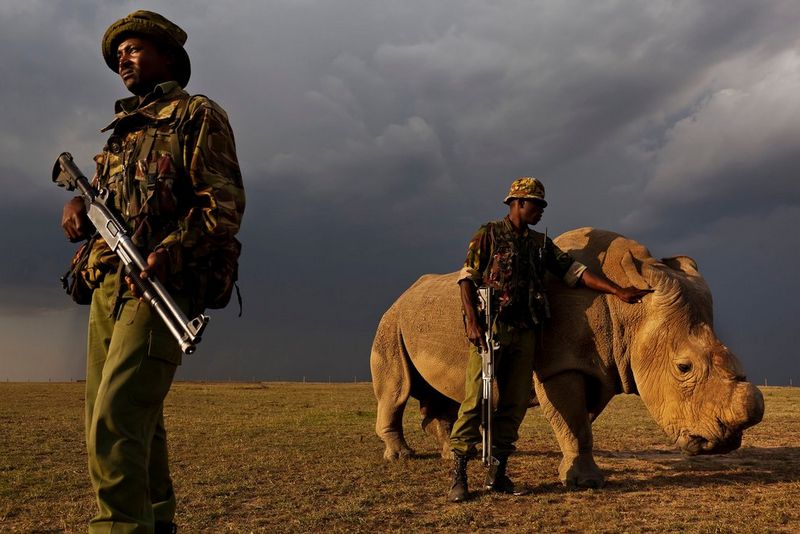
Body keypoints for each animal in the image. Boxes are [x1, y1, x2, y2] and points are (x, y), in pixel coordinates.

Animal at [371, 228, 764, 487]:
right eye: (683, 368)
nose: (726, 442)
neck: (629, 314)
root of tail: (401, 297)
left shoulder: (601, 365)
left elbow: (579, 421)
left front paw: (576, 471)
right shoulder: (559, 365)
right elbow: (572, 419)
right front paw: (584, 482)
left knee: (445, 396)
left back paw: (448, 454)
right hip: (390, 321)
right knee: (397, 388)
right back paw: (401, 457)